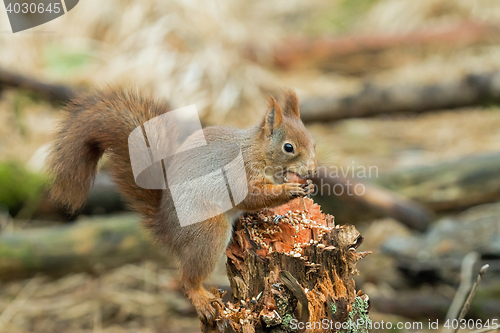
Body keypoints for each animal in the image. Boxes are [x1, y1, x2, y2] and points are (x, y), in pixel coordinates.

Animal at [49, 87, 316, 322]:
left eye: (313, 142)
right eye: (288, 147)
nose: (312, 170)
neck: (257, 151)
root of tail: (165, 228)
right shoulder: (241, 173)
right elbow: (252, 196)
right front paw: (289, 190)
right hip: (208, 231)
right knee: (188, 279)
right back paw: (201, 298)